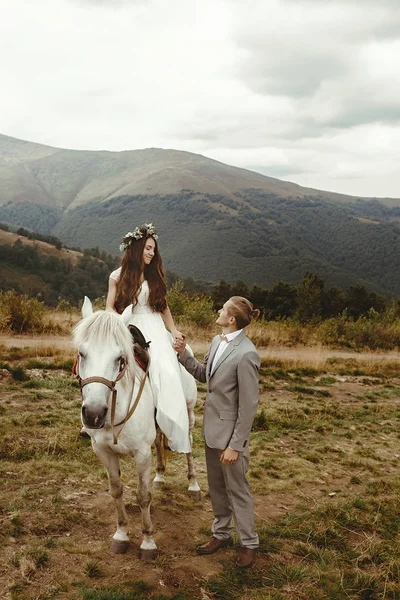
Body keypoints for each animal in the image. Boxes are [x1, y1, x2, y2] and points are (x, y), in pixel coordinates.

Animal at [72, 298, 200, 556]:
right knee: (160, 440)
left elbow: (143, 496)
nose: (93, 414)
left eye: (120, 358)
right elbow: (116, 490)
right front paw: (121, 535)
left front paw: (148, 542)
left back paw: (193, 484)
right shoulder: (104, 452)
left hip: (189, 411)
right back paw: (160, 476)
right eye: (82, 353)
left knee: (189, 444)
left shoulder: (141, 454)